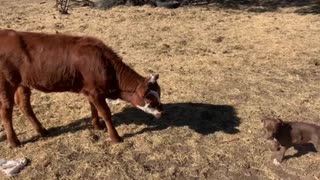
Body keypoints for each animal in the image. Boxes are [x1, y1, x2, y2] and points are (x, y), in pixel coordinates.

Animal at [0, 29, 164, 148]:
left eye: (159, 94)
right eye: (150, 99)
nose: (161, 111)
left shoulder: (91, 91)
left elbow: (93, 108)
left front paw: (97, 126)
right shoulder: (95, 92)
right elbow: (105, 113)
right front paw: (115, 137)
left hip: (23, 83)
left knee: (24, 105)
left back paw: (42, 131)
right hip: (7, 83)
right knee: (6, 109)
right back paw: (14, 142)